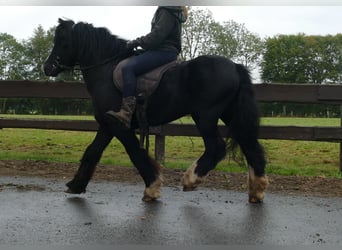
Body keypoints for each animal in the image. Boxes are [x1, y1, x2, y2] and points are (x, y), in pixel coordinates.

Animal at [43, 19, 268, 203]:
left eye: (62, 40)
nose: (47, 67)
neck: (107, 70)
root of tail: (235, 66)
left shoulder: (119, 126)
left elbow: (135, 153)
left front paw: (152, 187)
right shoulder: (106, 125)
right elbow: (92, 151)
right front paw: (76, 185)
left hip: (205, 116)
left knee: (216, 148)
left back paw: (190, 179)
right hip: (230, 115)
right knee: (250, 145)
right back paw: (257, 190)